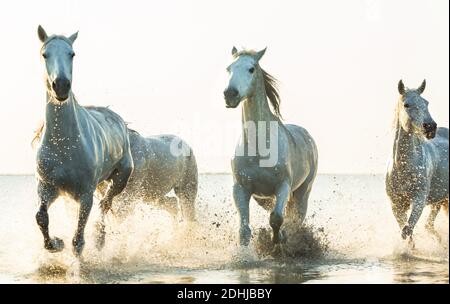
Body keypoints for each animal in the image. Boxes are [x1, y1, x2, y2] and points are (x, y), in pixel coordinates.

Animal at [34, 26, 133, 256]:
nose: (61, 86)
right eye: (45, 54)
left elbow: (78, 241)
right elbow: (41, 217)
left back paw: (100, 238)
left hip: (120, 178)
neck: (63, 144)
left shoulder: (85, 194)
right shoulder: (47, 188)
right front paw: (55, 244)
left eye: (72, 54)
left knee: (105, 204)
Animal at [223, 47, 318, 247]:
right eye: (229, 68)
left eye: (251, 69)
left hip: (303, 191)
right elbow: (244, 230)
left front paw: (277, 241)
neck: (259, 149)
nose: (230, 94)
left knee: (296, 218)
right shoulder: (241, 189)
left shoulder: (283, 186)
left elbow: (276, 219)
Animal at [384, 79, 448, 246]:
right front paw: (409, 248)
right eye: (407, 104)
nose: (430, 127)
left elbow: (407, 230)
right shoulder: (396, 204)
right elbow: (405, 231)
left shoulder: (419, 199)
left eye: (426, 102)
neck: (403, 167)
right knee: (429, 225)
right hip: (439, 200)